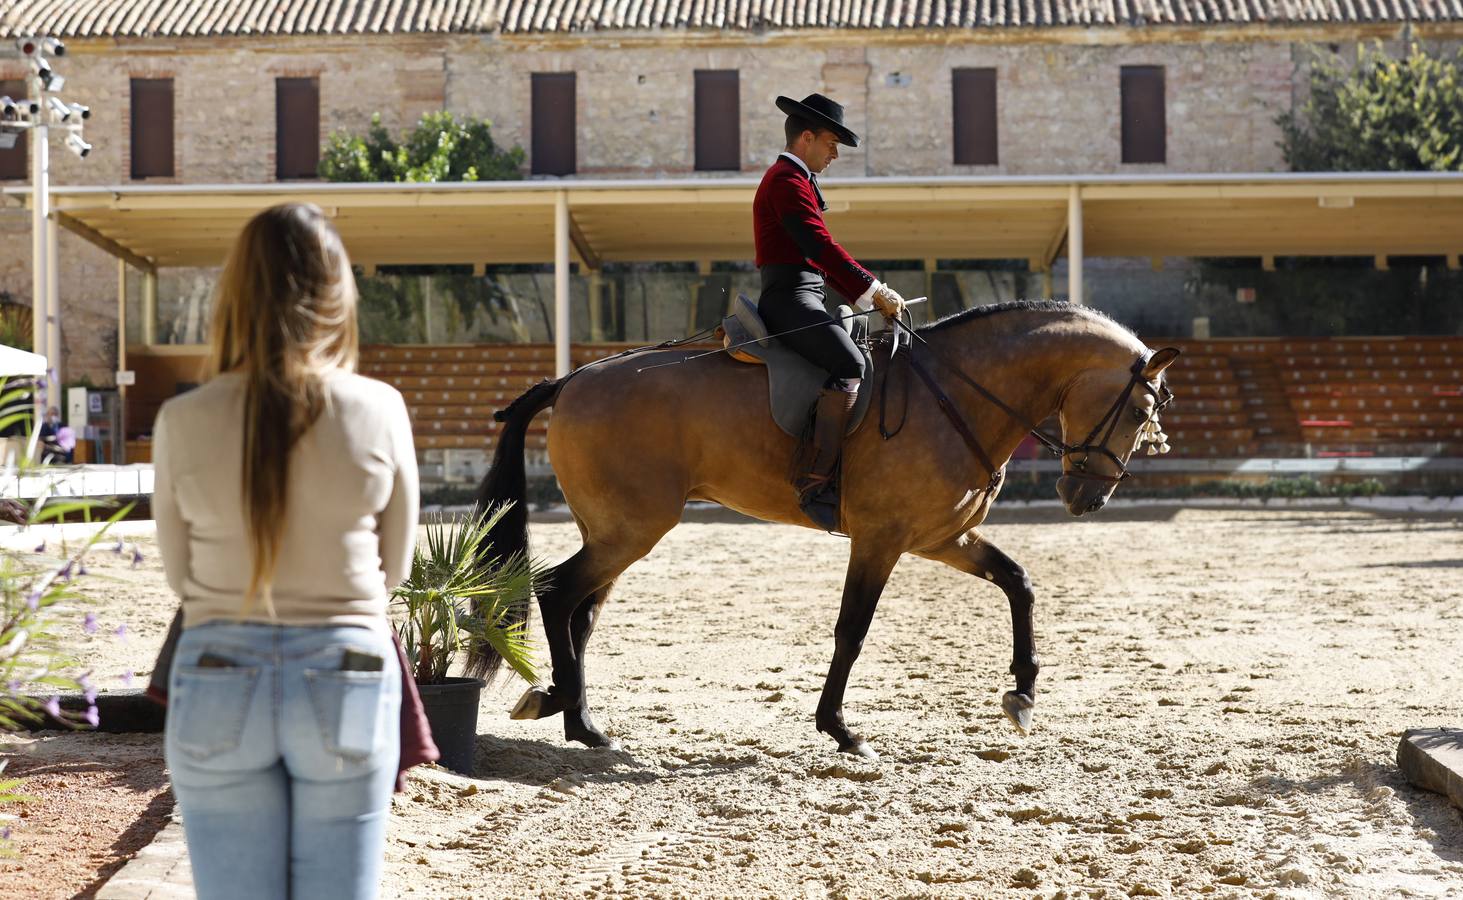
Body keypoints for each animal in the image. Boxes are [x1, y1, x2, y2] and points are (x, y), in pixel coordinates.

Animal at [468, 301, 1176, 760]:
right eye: (1139, 410)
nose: (1087, 497)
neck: (957, 395)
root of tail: (573, 378)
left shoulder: (939, 538)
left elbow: (1018, 582)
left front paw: (1023, 692)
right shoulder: (882, 540)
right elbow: (852, 630)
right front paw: (840, 729)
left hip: (615, 531)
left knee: (581, 613)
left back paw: (574, 715)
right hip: (630, 530)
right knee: (558, 593)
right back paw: (566, 710)